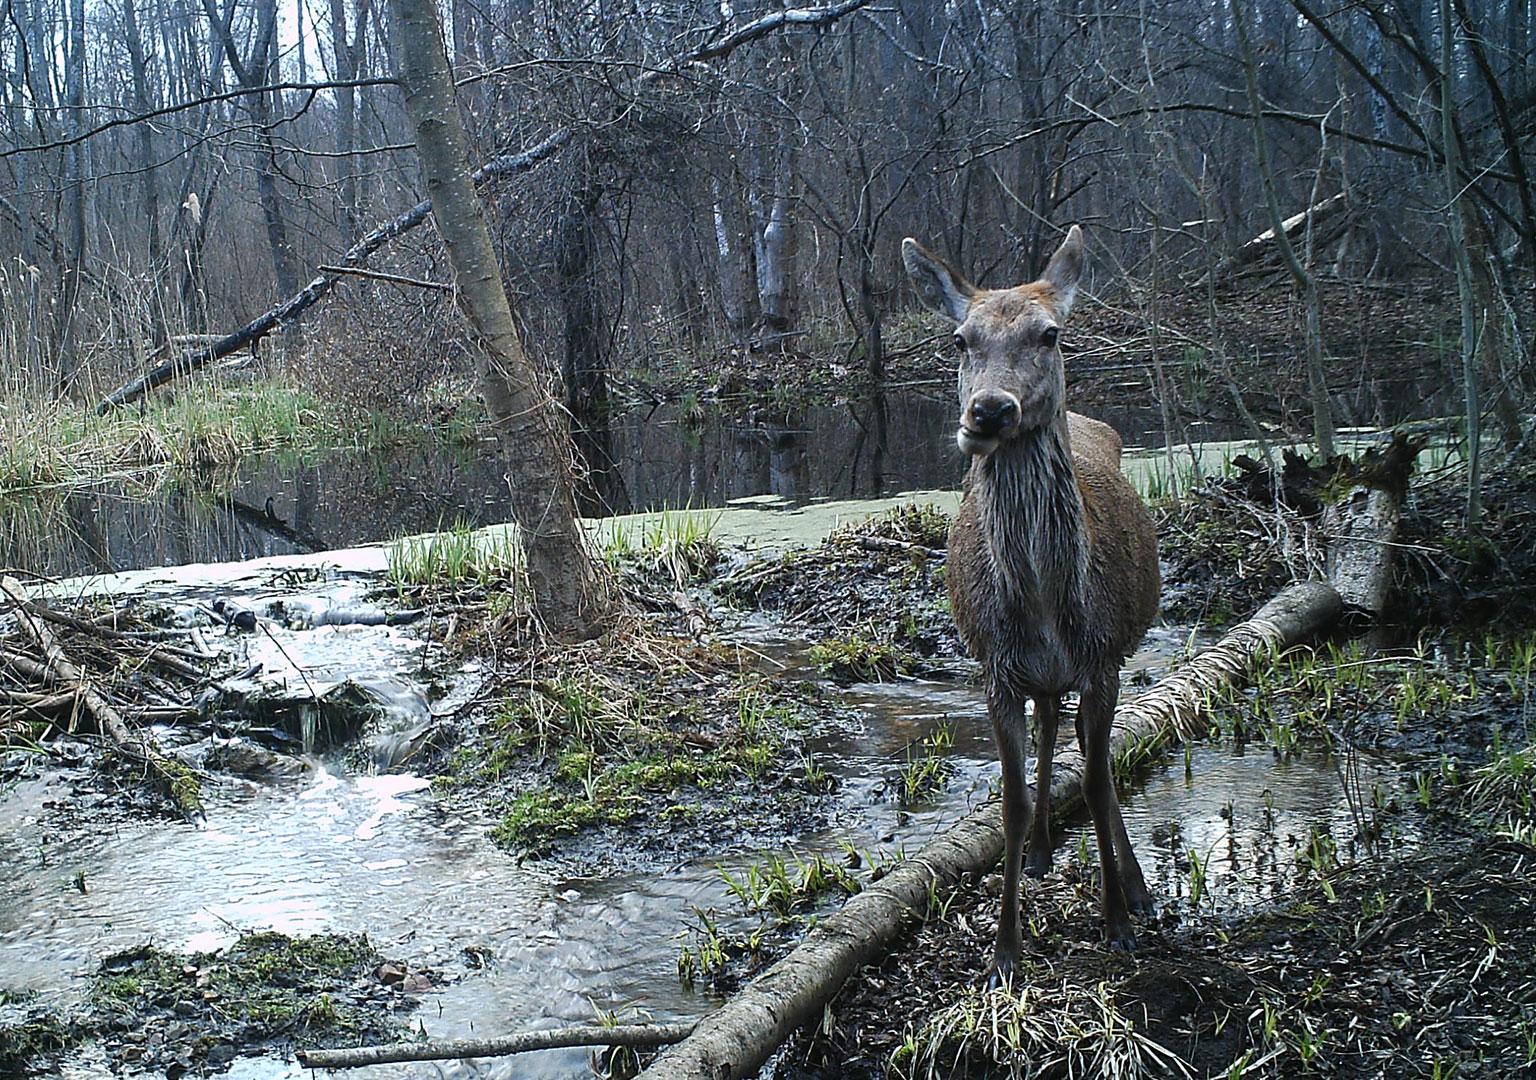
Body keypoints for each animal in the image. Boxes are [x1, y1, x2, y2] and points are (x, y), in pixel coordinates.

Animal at [897, 227, 1155, 983]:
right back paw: (1042, 852)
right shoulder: (997, 671)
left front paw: (1117, 920)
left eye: (1050, 333)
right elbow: (1009, 804)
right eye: (960, 339)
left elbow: (1096, 783)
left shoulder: (1102, 661)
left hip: (1108, 662)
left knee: (1095, 761)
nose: (989, 410)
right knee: (1048, 733)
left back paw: (1136, 885)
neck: (1044, 606)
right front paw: (1005, 951)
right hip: (1041, 680)